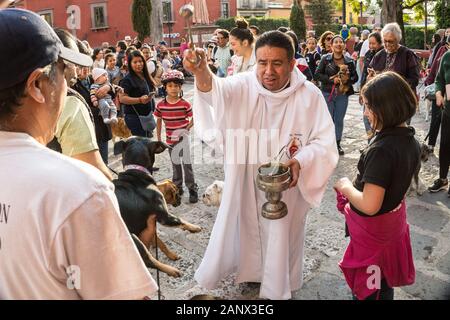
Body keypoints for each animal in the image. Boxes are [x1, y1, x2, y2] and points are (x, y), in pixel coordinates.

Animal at [113, 136, 201, 276]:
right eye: (176, 194)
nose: (180, 199)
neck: (135, 171)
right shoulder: (164, 216)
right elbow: (181, 221)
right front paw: (194, 227)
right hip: (133, 238)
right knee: (147, 261)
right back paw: (172, 270)